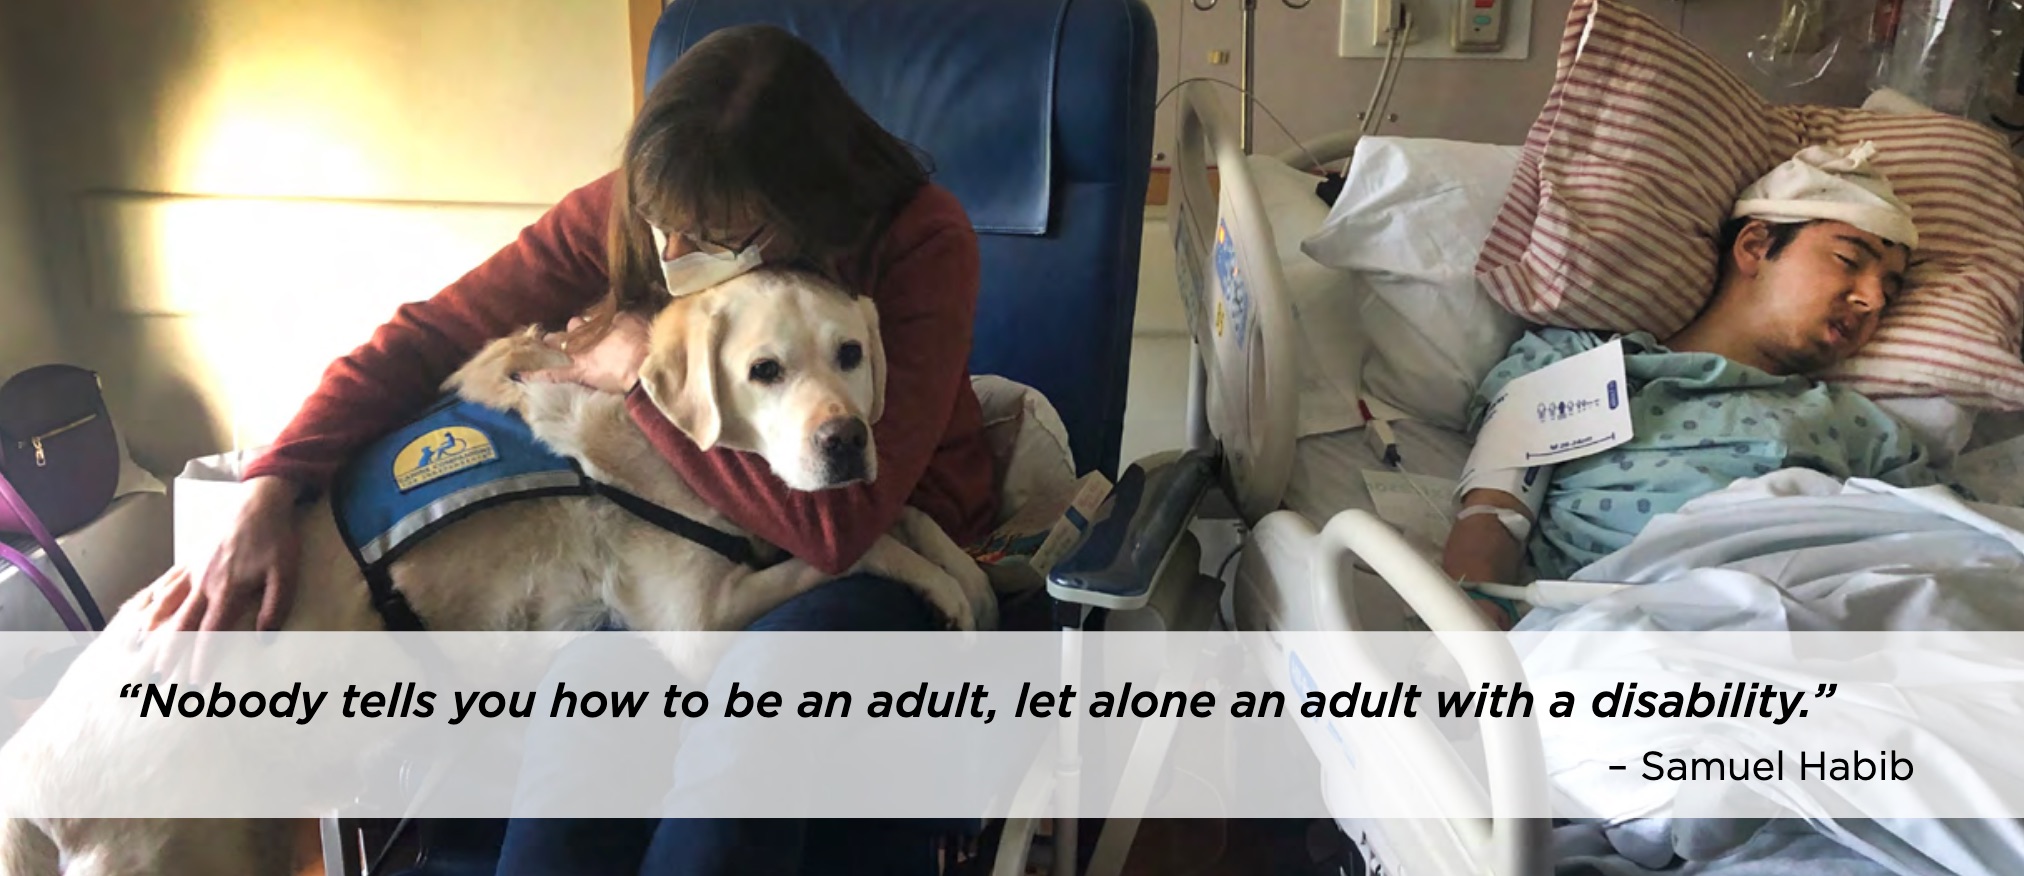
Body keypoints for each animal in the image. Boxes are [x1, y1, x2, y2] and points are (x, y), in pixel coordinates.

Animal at [0, 267, 995, 873]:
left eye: (850, 353)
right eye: (765, 371)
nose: (845, 441)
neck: (668, 439)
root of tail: (25, 788)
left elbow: (903, 515)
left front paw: (973, 578)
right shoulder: (697, 622)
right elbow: (865, 544)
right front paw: (944, 587)